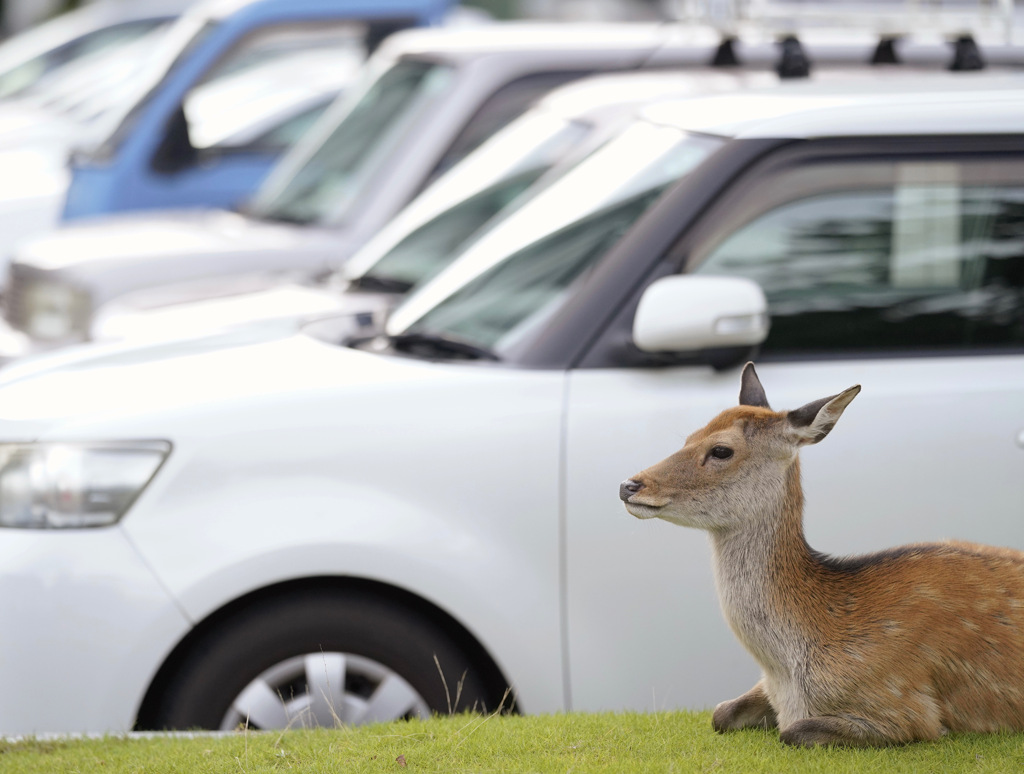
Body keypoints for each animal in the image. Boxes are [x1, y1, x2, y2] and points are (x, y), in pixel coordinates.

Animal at [618, 366, 1024, 745]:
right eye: (689, 437)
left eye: (721, 450)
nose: (628, 485)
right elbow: (720, 713)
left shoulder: (906, 707)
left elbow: (793, 732)